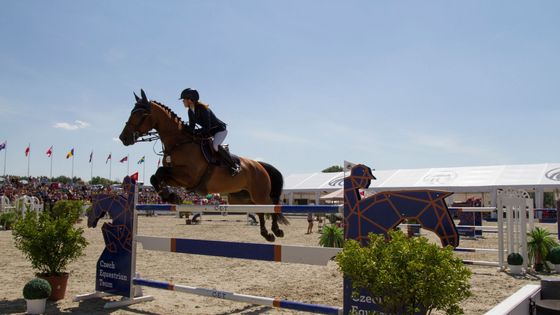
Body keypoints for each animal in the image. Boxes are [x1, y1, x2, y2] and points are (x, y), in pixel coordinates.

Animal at [116, 89, 286, 242]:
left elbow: (160, 171)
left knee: (271, 205)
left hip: (259, 193)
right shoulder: (178, 179)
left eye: (141, 115)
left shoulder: (189, 176)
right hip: (241, 198)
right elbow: (156, 176)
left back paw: (276, 231)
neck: (179, 143)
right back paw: (266, 234)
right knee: (260, 211)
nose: (123, 138)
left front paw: (170, 195)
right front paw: (170, 196)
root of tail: (260, 165)